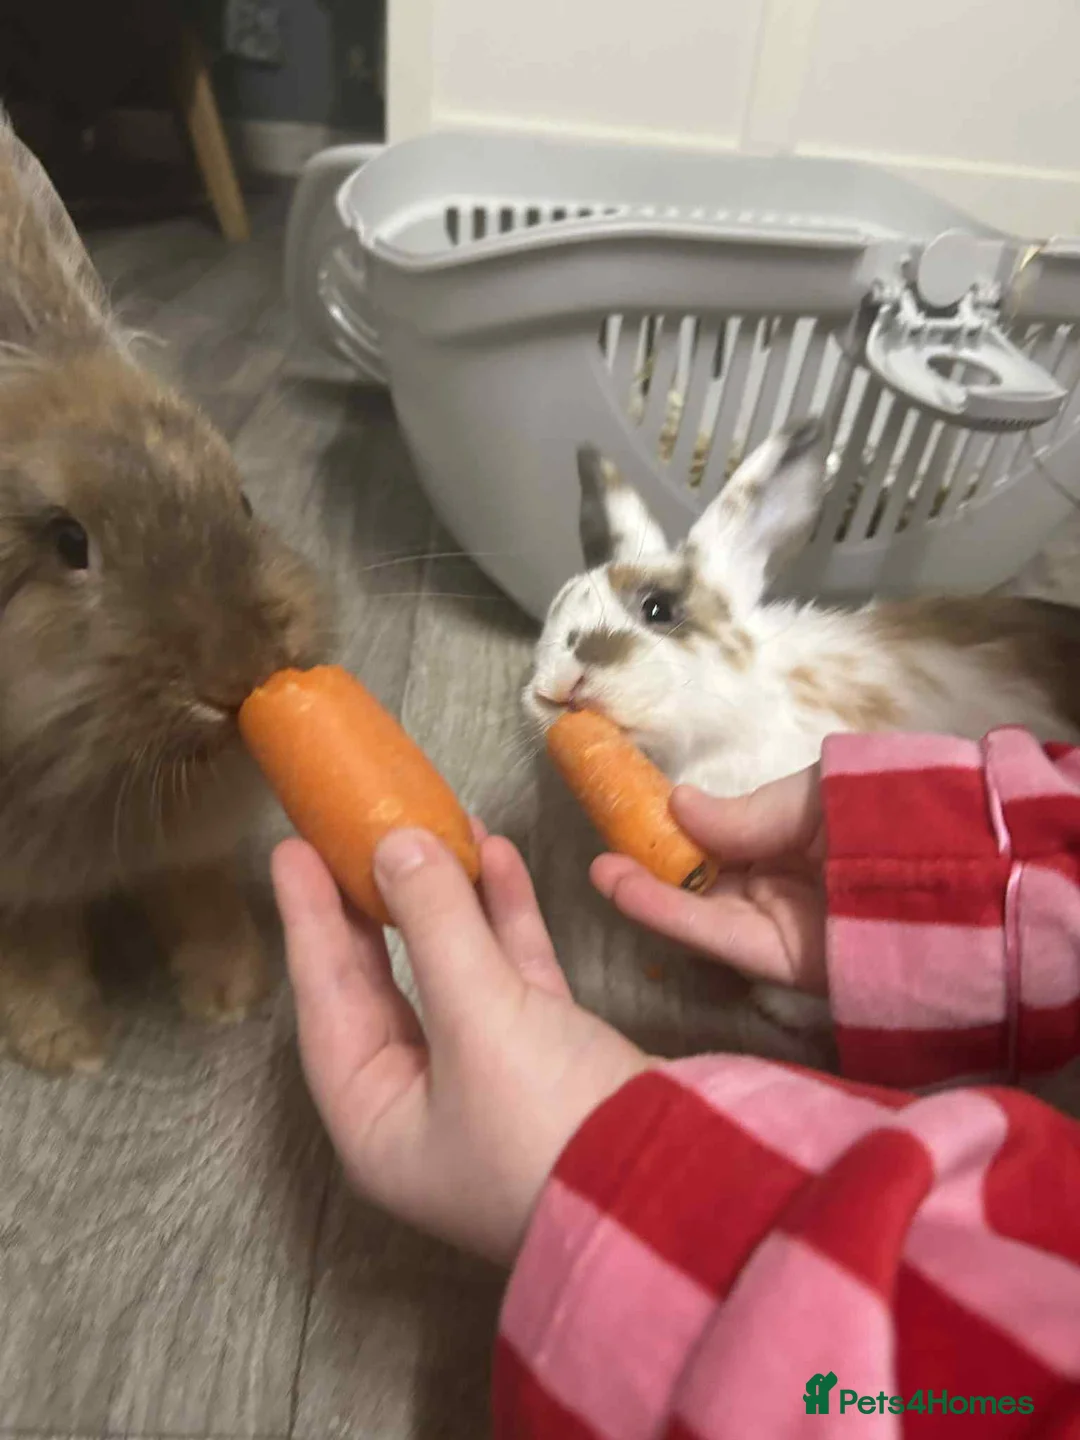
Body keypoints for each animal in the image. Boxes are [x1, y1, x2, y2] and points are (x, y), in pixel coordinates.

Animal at [0, 113, 326, 1071]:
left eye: (242, 500)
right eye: (70, 544)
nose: (241, 673)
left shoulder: (188, 845)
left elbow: (200, 895)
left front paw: (229, 995)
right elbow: (33, 948)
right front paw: (64, 1046)